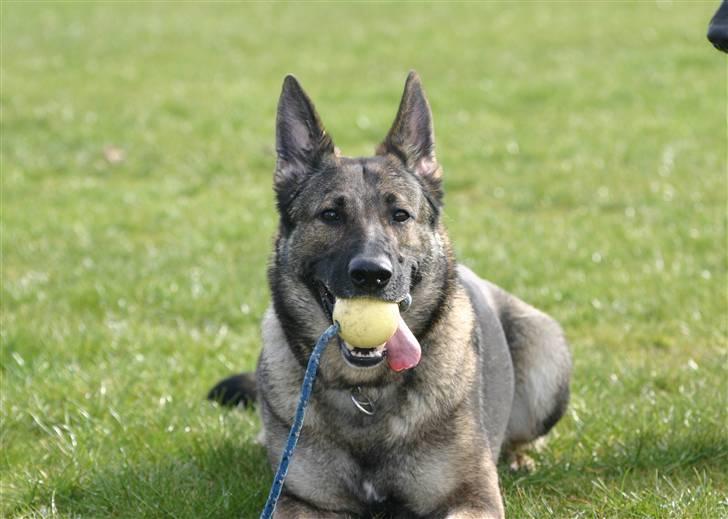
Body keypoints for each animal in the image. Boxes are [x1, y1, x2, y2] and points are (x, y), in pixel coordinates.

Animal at [210, 71, 576, 516]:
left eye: (400, 215)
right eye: (331, 215)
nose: (372, 275)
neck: (366, 392)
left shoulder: (472, 497)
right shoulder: (298, 502)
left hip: (545, 362)